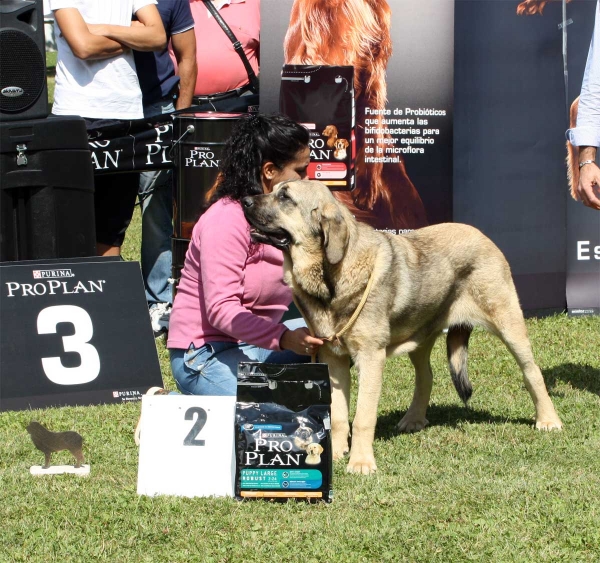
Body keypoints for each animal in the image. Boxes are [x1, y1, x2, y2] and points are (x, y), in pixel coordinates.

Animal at [241, 181, 564, 476]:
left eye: (285, 197)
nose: (244, 200)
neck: (330, 276)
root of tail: (482, 235)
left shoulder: (370, 358)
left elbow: (363, 417)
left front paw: (361, 463)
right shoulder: (333, 359)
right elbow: (339, 414)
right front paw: (334, 452)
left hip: (509, 323)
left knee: (532, 372)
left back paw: (548, 420)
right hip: (420, 337)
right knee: (426, 377)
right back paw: (414, 420)